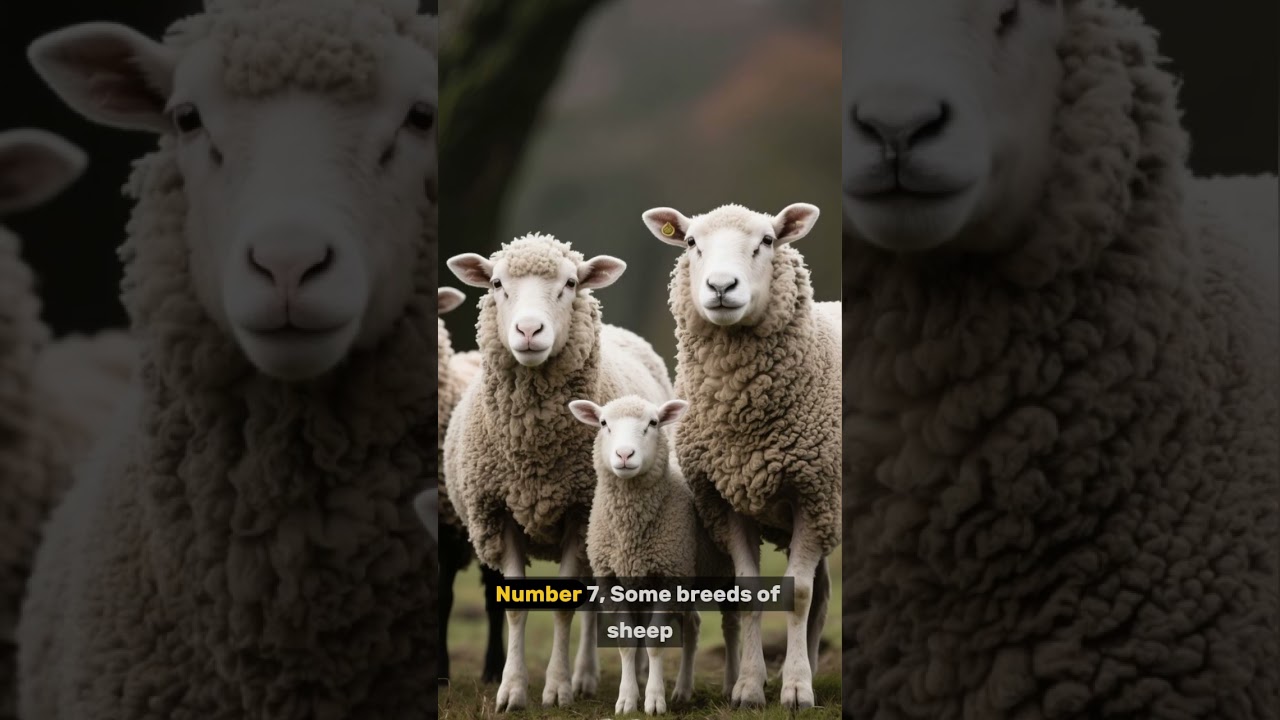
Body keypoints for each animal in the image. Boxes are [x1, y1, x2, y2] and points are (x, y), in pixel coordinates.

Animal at [444, 233, 674, 711]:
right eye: (496, 283)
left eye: (570, 283)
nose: (530, 331)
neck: (534, 457)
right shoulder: (501, 511)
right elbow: (513, 606)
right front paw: (512, 690)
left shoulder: (577, 512)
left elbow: (568, 604)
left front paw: (557, 688)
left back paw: (588, 675)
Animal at [567, 395, 738, 715]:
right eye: (603, 423)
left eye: (653, 423)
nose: (624, 454)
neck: (629, 531)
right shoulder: (613, 581)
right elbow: (627, 641)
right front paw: (627, 699)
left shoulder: (668, 576)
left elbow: (655, 640)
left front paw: (654, 700)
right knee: (693, 627)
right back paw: (683, 691)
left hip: (723, 573)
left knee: (731, 625)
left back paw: (733, 684)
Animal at [639, 201, 842, 710]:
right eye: (692, 242)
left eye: (767, 241)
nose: (720, 287)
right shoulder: (725, 498)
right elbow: (750, 593)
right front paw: (750, 687)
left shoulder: (813, 494)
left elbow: (799, 594)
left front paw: (796, 689)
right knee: (826, 593)